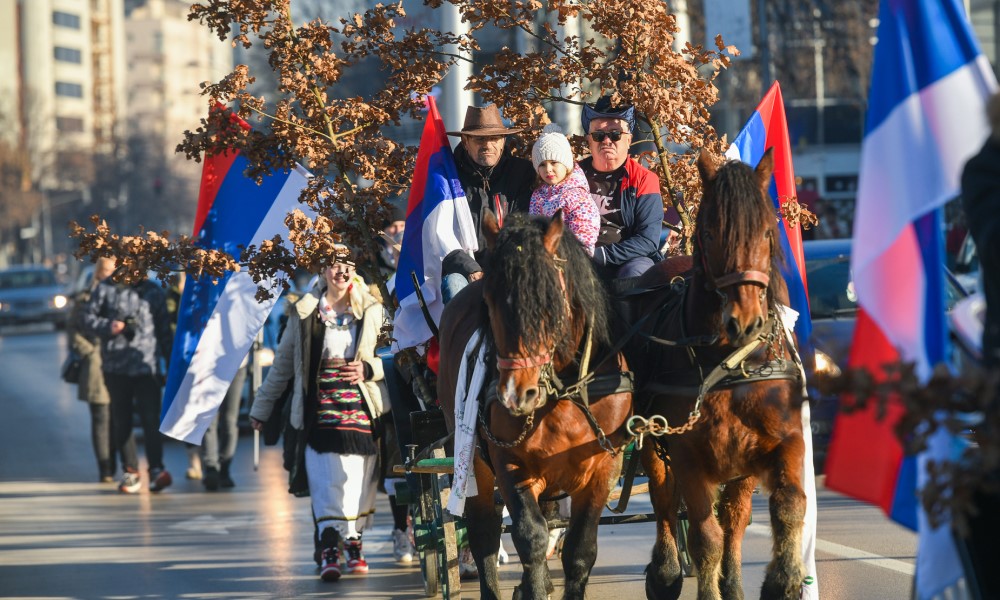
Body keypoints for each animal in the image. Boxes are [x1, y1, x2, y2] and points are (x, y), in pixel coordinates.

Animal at [438, 211, 632, 600]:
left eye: (549, 298)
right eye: (490, 301)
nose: (516, 393)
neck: (563, 391)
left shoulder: (604, 468)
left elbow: (580, 549)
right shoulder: (510, 463)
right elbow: (530, 537)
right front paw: (534, 584)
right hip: (474, 463)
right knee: (485, 531)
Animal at [632, 150, 812, 600]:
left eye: (766, 232)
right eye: (711, 233)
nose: (744, 321)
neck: (730, 364)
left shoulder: (781, 440)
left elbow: (788, 505)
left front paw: (784, 581)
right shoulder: (687, 454)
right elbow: (704, 537)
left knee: (735, 515)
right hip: (650, 440)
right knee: (664, 501)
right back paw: (665, 570)